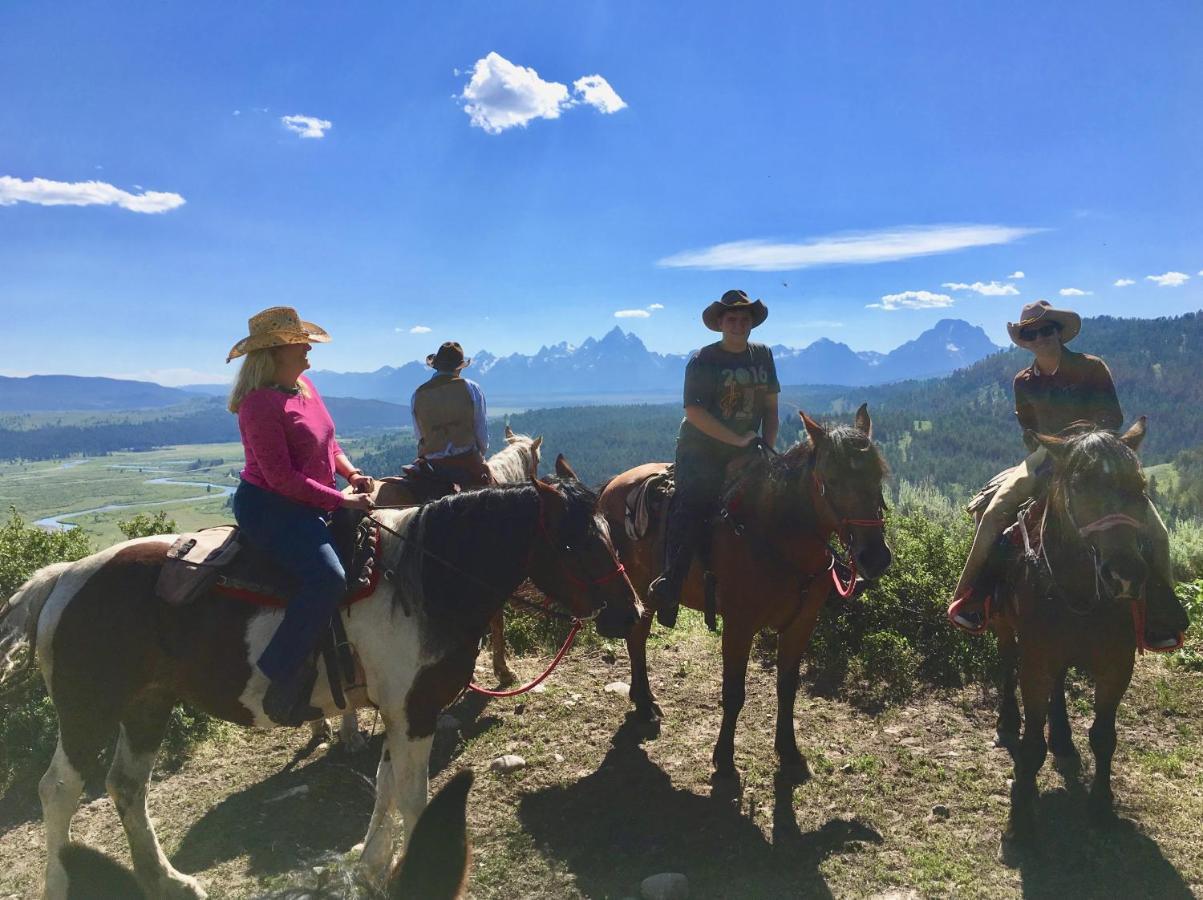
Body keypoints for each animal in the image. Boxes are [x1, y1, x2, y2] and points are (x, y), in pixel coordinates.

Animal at [2, 471, 639, 900]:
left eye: (609, 532)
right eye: (573, 543)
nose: (629, 613)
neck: (421, 581)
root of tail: (62, 580)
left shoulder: (399, 713)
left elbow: (385, 789)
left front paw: (372, 868)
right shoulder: (416, 712)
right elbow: (413, 797)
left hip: (146, 706)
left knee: (127, 787)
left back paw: (169, 880)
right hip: (89, 709)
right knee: (59, 790)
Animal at [594, 406, 895, 779]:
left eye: (878, 475)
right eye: (831, 480)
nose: (876, 557)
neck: (778, 538)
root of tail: (612, 485)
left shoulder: (801, 625)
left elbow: (787, 687)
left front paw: (789, 750)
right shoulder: (739, 626)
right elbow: (734, 692)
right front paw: (724, 757)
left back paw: (642, 699)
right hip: (639, 590)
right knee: (636, 638)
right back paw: (645, 703)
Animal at [986, 418, 1154, 856]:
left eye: (1140, 486)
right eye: (1078, 485)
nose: (1125, 575)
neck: (1080, 593)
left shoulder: (1117, 666)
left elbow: (1104, 736)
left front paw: (1101, 807)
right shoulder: (1036, 663)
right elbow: (1031, 745)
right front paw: (1020, 822)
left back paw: (1062, 737)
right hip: (1004, 627)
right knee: (1007, 662)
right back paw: (1008, 718)